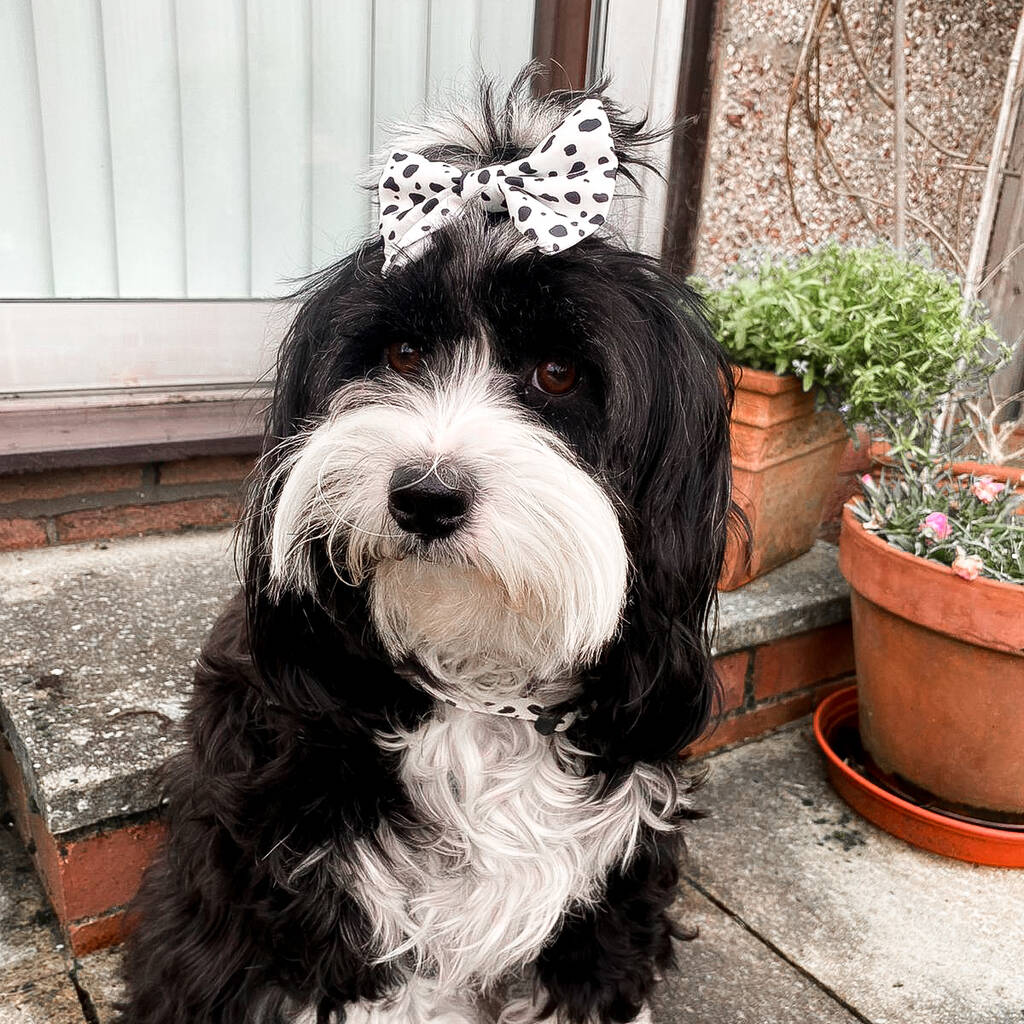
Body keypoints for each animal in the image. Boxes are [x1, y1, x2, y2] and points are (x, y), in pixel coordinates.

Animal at [119, 70, 733, 1024]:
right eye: (404, 353)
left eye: (559, 373)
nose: (425, 496)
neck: (479, 684)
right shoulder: (298, 915)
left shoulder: (607, 901)